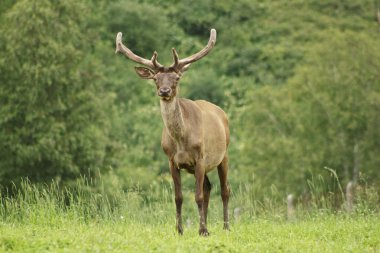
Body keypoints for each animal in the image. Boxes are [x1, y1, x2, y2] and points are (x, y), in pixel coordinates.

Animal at [115, 27, 229, 235]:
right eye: (155, 79)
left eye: (176, 78)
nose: (165, 91)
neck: (181, 141)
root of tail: (221, 112)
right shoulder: (171, 161)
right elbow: (179, 197)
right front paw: (180, 230)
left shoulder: (200, 157)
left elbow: (197, 196)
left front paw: (202, 231)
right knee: (209, 187)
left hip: (224, 154)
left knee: (225, 190)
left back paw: (226, 226)